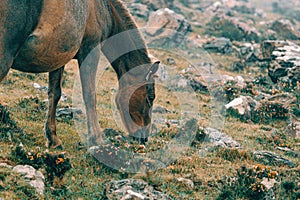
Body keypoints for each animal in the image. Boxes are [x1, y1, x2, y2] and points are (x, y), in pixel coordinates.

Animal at [0, 0, 159, 148]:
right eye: (150, 98)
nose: (144, 138)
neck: (102, 8)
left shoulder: (57, 58)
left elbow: (54, 94)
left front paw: (53, 138)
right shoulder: (90, 50)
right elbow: (89, 95)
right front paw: (97, 139)